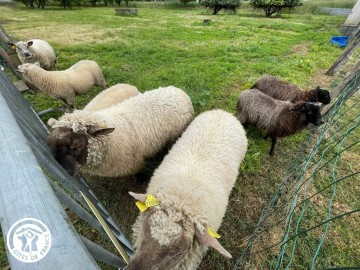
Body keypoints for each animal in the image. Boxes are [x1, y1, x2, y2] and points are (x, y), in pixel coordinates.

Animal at [46, 86, 195, 177]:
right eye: (49, 143)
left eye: (76, 145)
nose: (65, 172)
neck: (111, 139)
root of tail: (177, 90)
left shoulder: (136, 163)